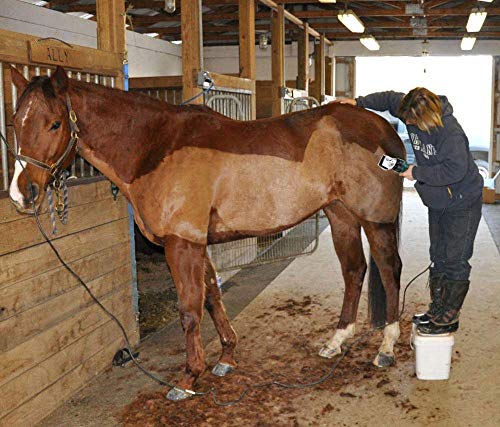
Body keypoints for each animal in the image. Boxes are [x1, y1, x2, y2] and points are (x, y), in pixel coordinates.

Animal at [9, 67, 404, 402]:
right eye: (15, 121)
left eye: (55, 123)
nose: (21, 193)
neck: (155, 147)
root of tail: (385, 130)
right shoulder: (198, 244)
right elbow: (213, 297)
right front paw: (226, 356)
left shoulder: (181, 244)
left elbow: (189, 310)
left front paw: (188, 378)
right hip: (341, 216)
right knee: (354, 270)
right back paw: (336, 340)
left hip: (376, 221)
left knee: (389, 270)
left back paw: (386, 348)